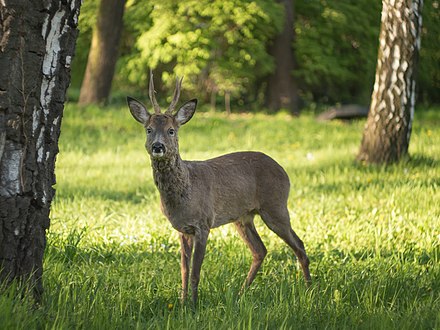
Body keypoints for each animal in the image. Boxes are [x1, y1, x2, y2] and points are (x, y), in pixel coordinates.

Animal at [127, 72, 312, 304]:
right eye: (149, 130)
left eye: (171, 131)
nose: (157, 146)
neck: (186, 191)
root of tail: (284, 171)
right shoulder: (182, 229)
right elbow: (184, 271)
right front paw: (182, 302)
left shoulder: (203, 223)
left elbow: (196, 272)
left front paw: (194, 305)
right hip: (243, 217)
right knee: (260, 250)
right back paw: (240, 294)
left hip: (275, 206)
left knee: (299, 245)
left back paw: (310, 291)